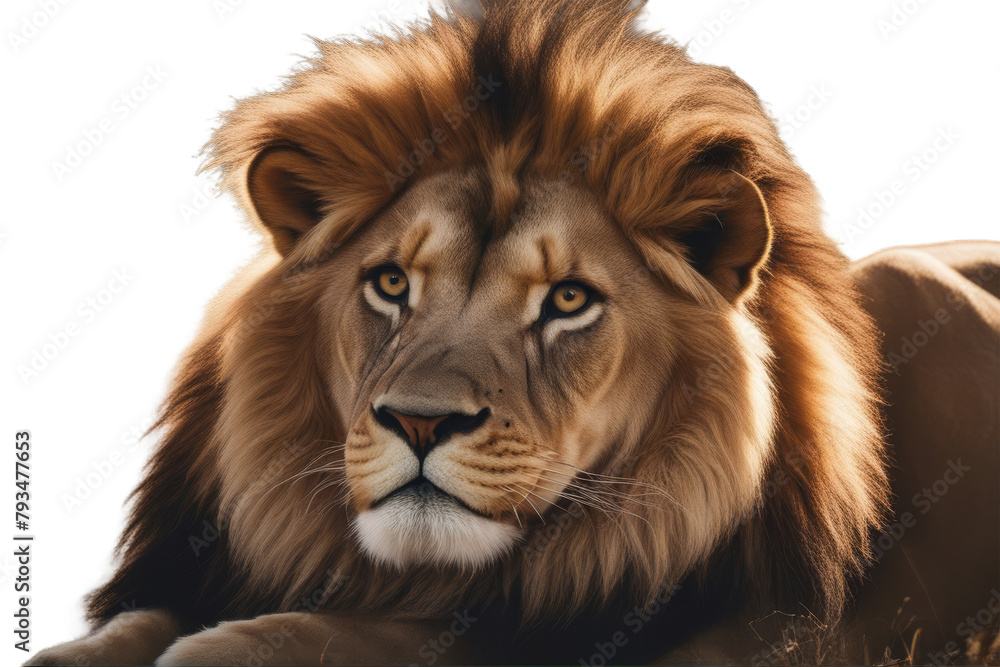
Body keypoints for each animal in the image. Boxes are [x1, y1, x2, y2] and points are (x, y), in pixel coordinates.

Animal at [29, 1, 998, 665]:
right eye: (391, 282)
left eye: (568, 299)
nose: (420, 422)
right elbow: (131, 622)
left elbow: (402, 638)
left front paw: (234, 642)